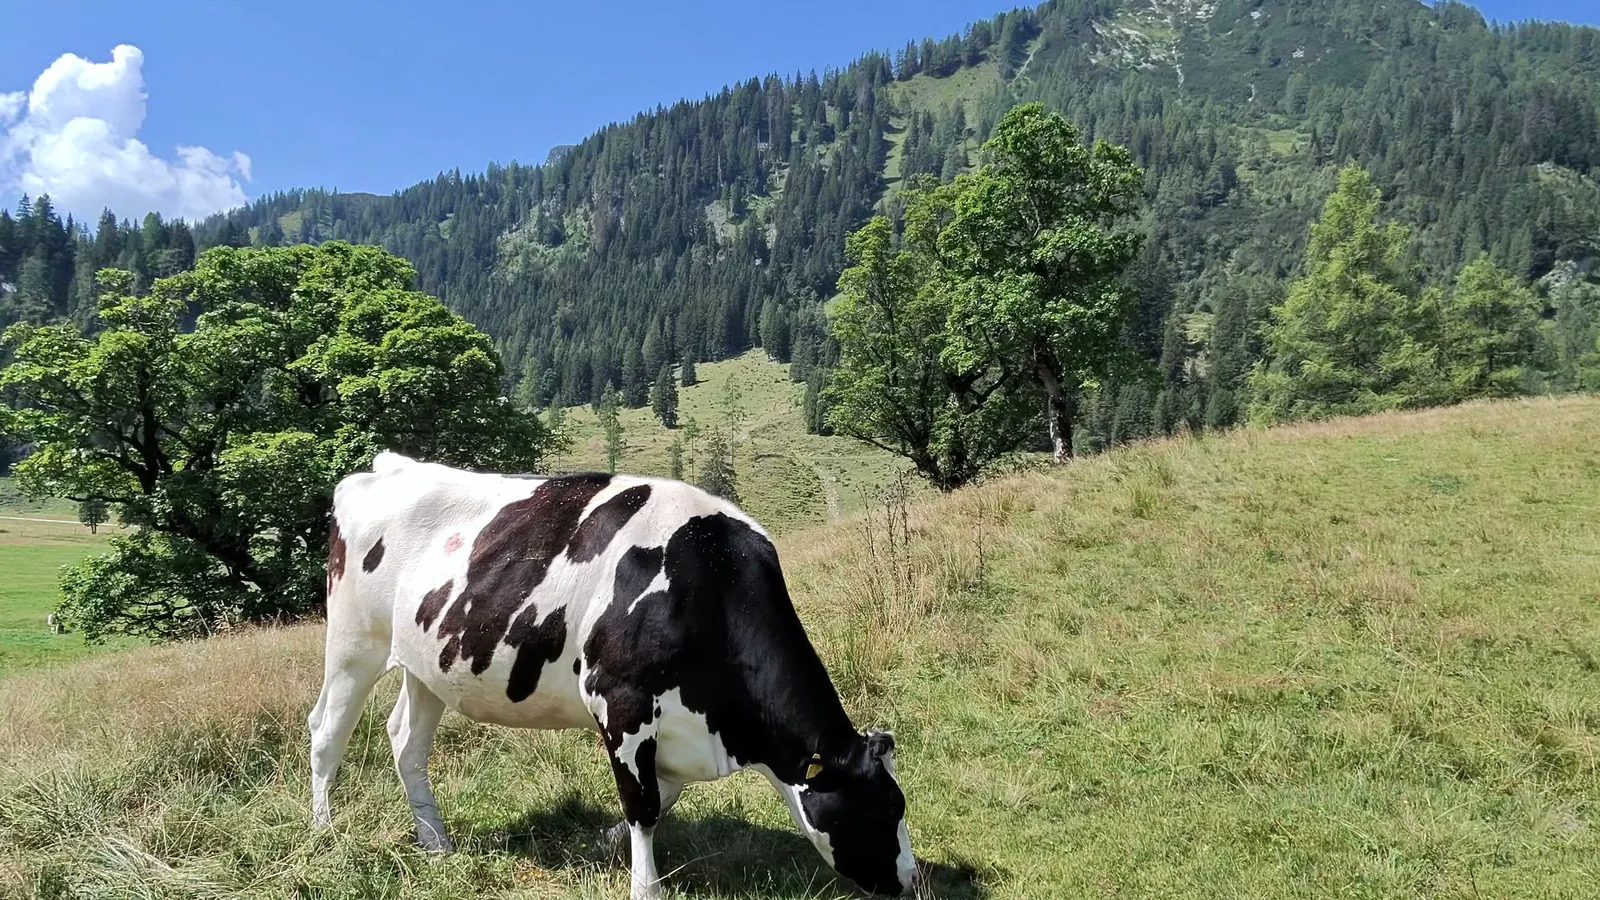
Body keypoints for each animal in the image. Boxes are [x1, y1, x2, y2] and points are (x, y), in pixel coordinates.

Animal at [308, 452, 916, 899]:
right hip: (354, 643)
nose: (911, 882)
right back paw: (324, 833)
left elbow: (657, 800)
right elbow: (642, 805)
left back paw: (435, 842)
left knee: (406, 740)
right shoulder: (621, 702)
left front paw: (604, 849)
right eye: (887, 808)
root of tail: (388, 466)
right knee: (326, 732)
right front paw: (644, 888)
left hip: (427, 664)